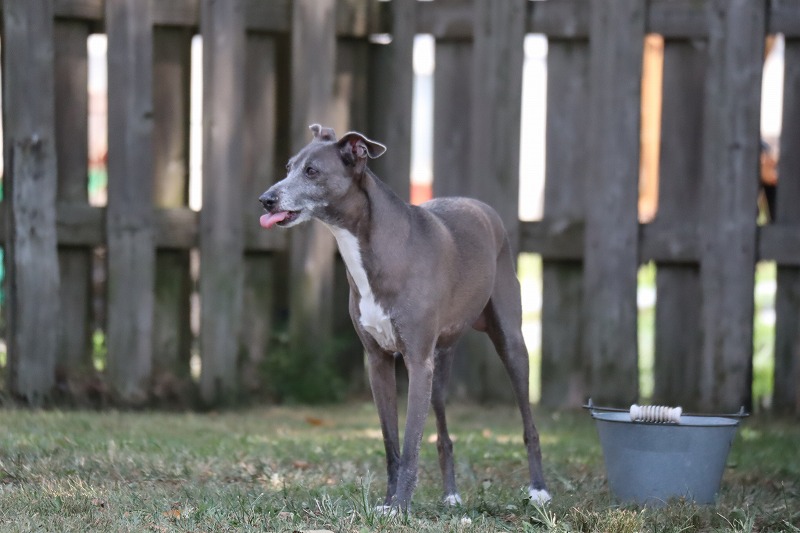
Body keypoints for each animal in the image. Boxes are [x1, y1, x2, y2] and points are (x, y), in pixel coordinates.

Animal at [259, 125, 550, 511]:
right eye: (289, 167)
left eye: (312, 171)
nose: (266, 200)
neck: (376, 247)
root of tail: (483, 206)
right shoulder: (379, 361)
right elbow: (391, 443)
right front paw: (388, 502)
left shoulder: (416, 361)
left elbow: (411, 444)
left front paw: (400, 507)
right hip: (439, 366)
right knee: (444, 435)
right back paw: (450, 494)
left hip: (510, 344)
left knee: (529, 422)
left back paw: (538, 489)